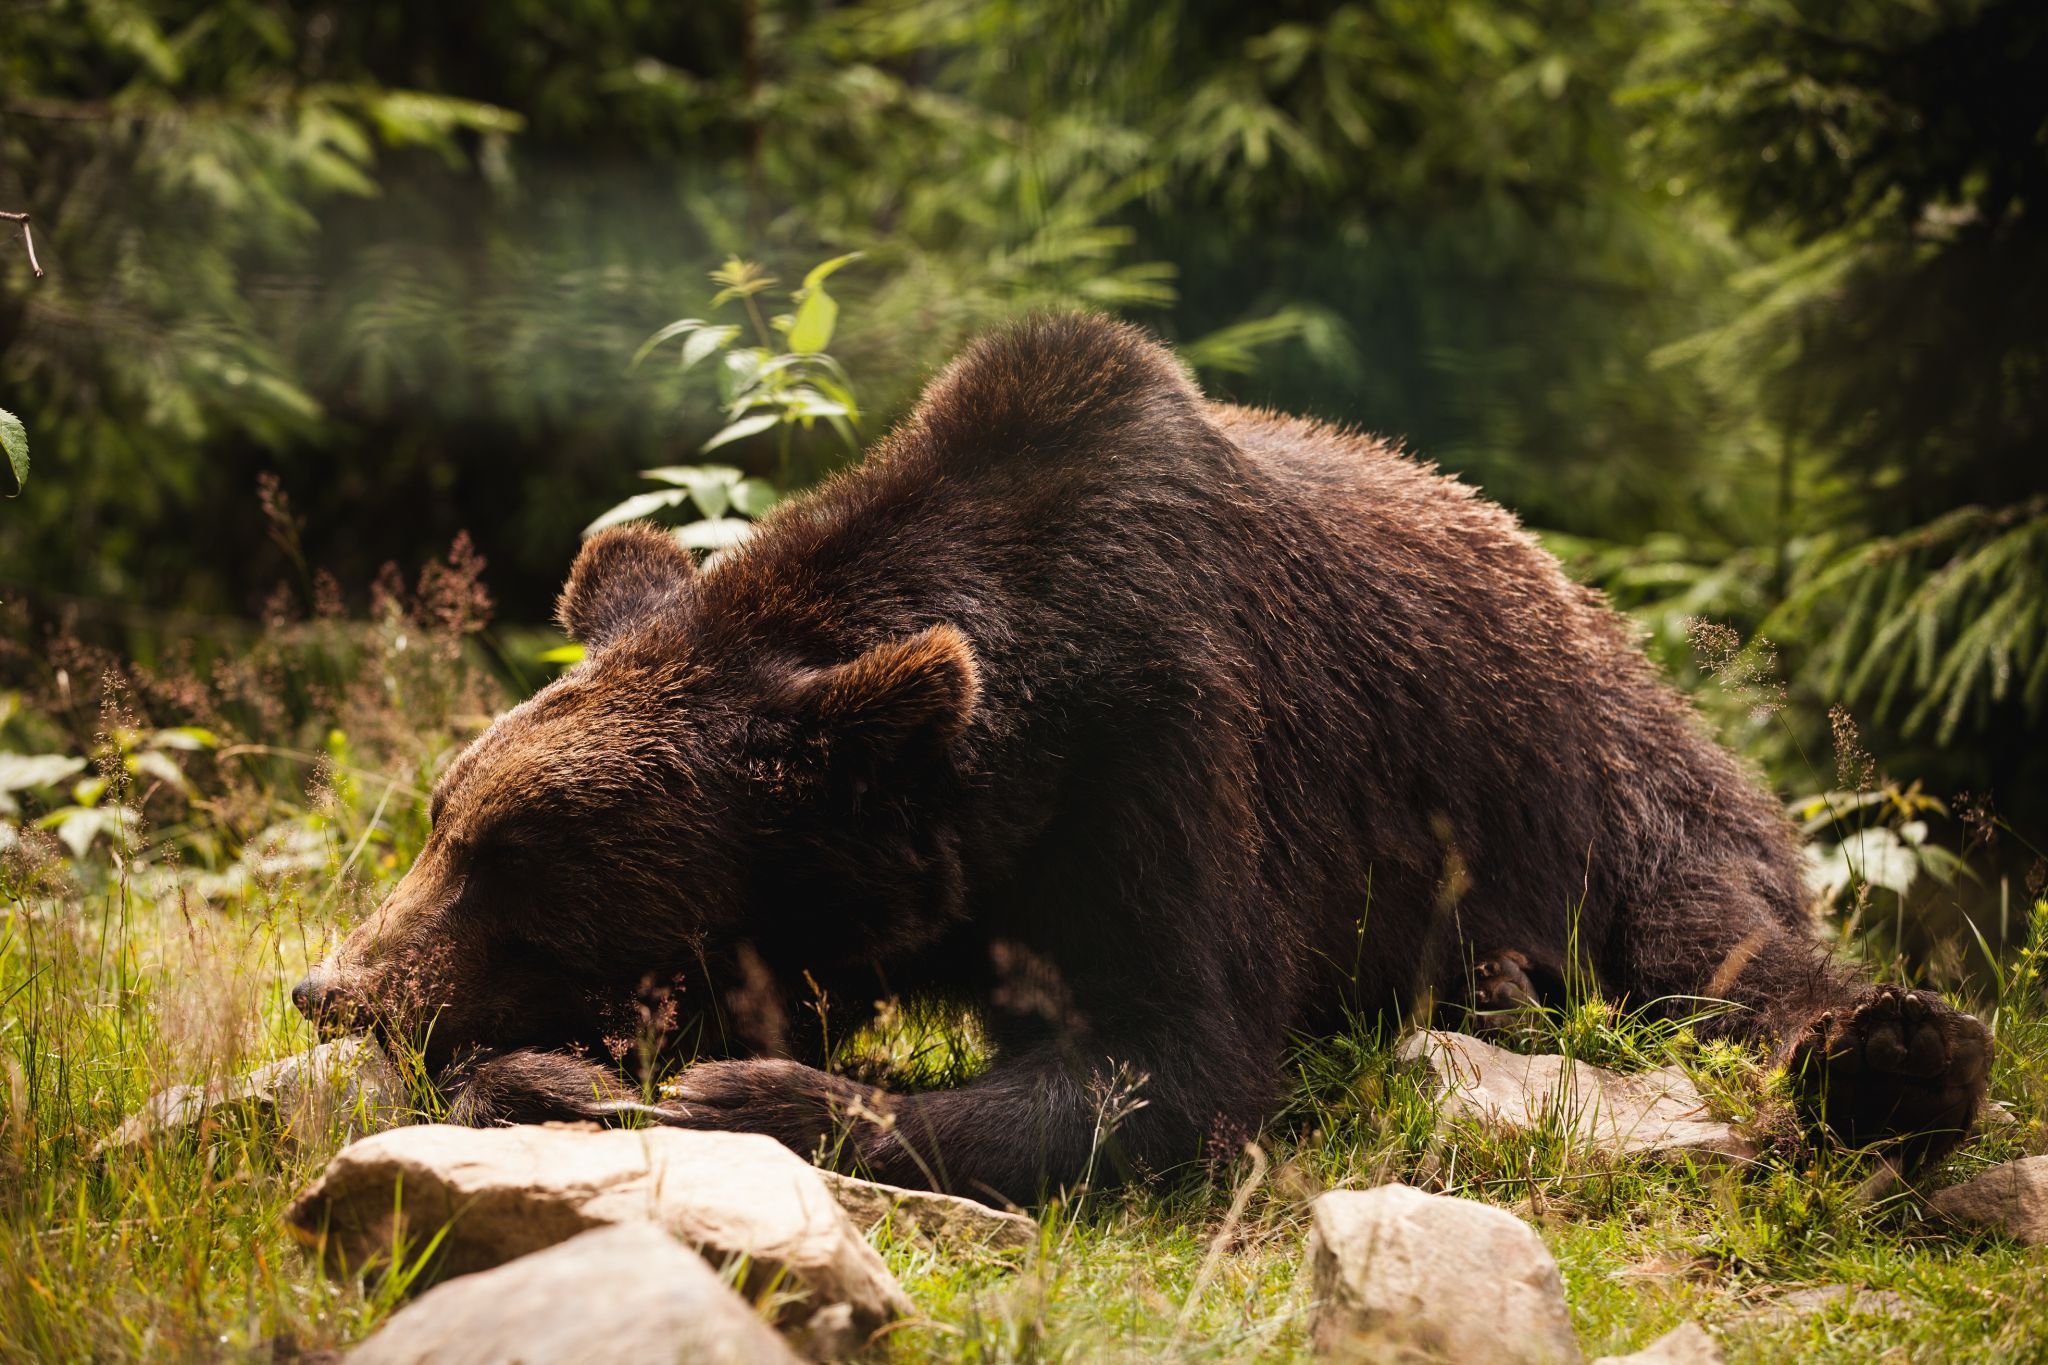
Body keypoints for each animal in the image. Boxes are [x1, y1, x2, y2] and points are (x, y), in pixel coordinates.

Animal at [294, 314, 1990, 1204]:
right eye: (443, 817)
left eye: (517, 863)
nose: (335, 986)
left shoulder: (1180, 755)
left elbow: (1170, 1062)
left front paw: (697, 1090)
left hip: (1606, 802)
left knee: (1735, 950)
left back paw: (1889, 1054)